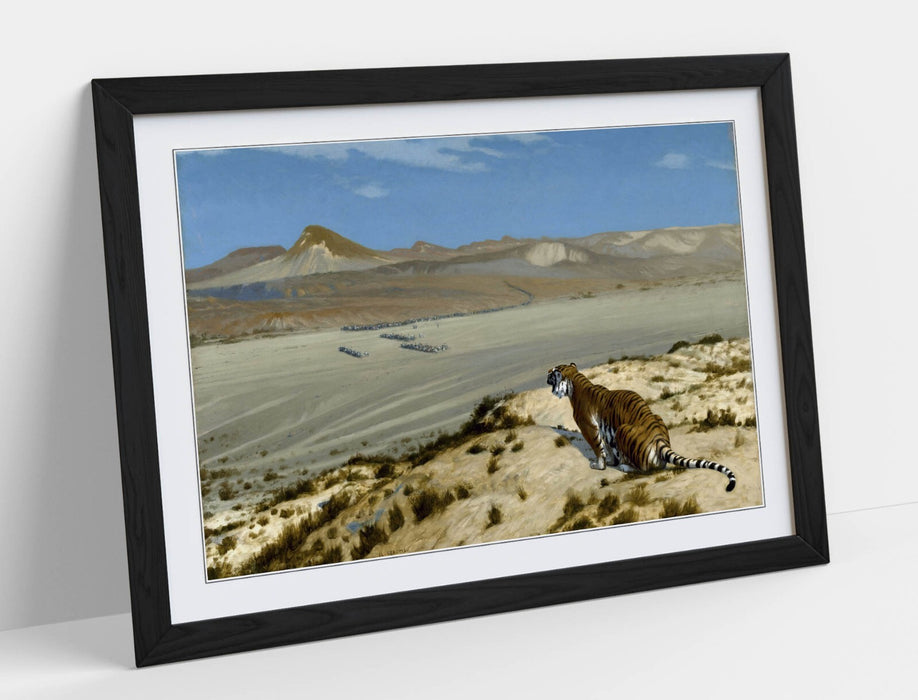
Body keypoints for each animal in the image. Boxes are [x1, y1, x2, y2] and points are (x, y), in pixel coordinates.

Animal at [547, 363, 736, 492]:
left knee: (644, 470)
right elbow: (607, 447)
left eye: (553, 372)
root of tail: (659, 438)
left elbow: (597, 447)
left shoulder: (588, 427)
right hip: (655, 419)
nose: (546, 373)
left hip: (622, 430)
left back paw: (625, 467)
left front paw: (599, 465)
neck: (574, 382)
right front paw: (611, 461)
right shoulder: (603, 429)